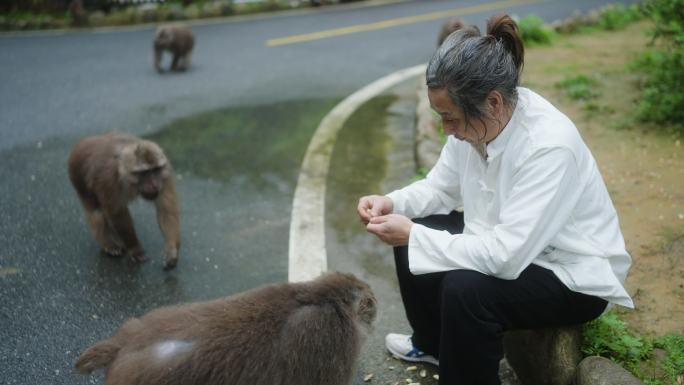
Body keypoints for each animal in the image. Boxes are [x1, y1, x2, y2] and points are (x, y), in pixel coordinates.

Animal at [68, 132, 180, 270]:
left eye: (155, 170)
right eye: (144, 172)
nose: (154, 184)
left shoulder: (165, 172)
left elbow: (167, 209)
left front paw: (172, 250)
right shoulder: (108, 179)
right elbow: (117, 214)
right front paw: (135, 248)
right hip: (77, 175)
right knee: (96, 212)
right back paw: (109, 244)